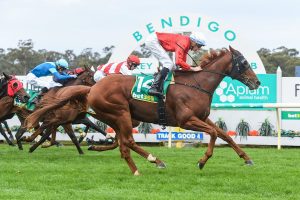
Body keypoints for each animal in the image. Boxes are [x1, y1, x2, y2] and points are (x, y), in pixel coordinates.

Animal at [25, 46, 260, 174]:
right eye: (244, 63)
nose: (257, 82)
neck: (195, 84)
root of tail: (92, 87)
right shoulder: (186, 120)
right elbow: (212, 134)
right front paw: (202, 161)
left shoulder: (202, 117)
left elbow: (224, 135)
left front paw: (246, 158)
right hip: (120, 113)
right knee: (127, 141)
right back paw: (155, 160)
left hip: (117, 116)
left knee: (121, 143)